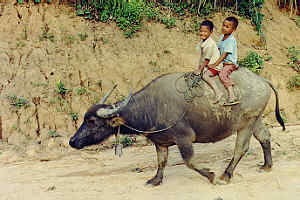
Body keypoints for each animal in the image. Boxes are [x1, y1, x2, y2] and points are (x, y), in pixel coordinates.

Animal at [69, 67, 284, 186]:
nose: (72, 141)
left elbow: (189, 161)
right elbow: (161, 161)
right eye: (84, 119)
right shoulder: (160, 141)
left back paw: (225, 174)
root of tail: (262, 80)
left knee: (241, 148)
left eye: (92, 121)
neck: (152, 106)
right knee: (265, 137)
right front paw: (155, 180)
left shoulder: (184, 137)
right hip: (256, 119)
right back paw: (267, 166)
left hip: (246, 123)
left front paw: (211, 176)